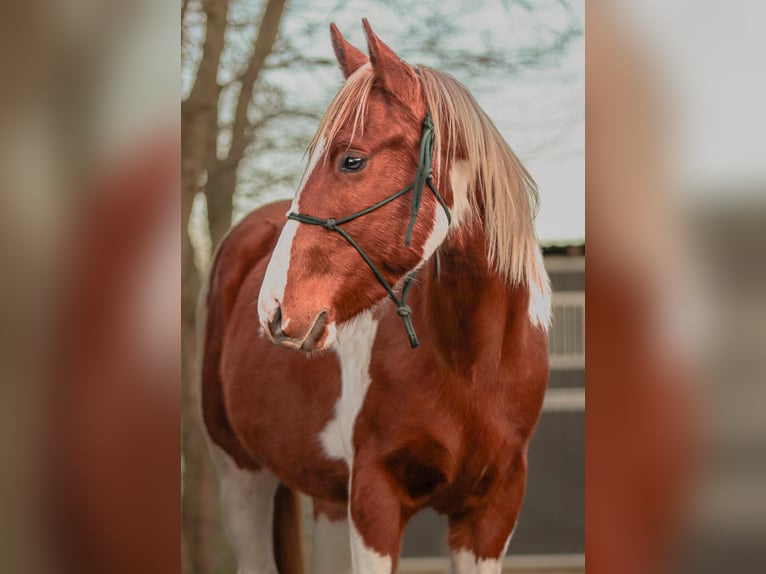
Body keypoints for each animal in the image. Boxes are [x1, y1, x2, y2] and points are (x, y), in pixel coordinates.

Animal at [199, 19, 551, 574]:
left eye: (352, 160)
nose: (273, 308)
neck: (470, 365)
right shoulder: (375, 499)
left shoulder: (490, 515)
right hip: (240, 474)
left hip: (326, 497)